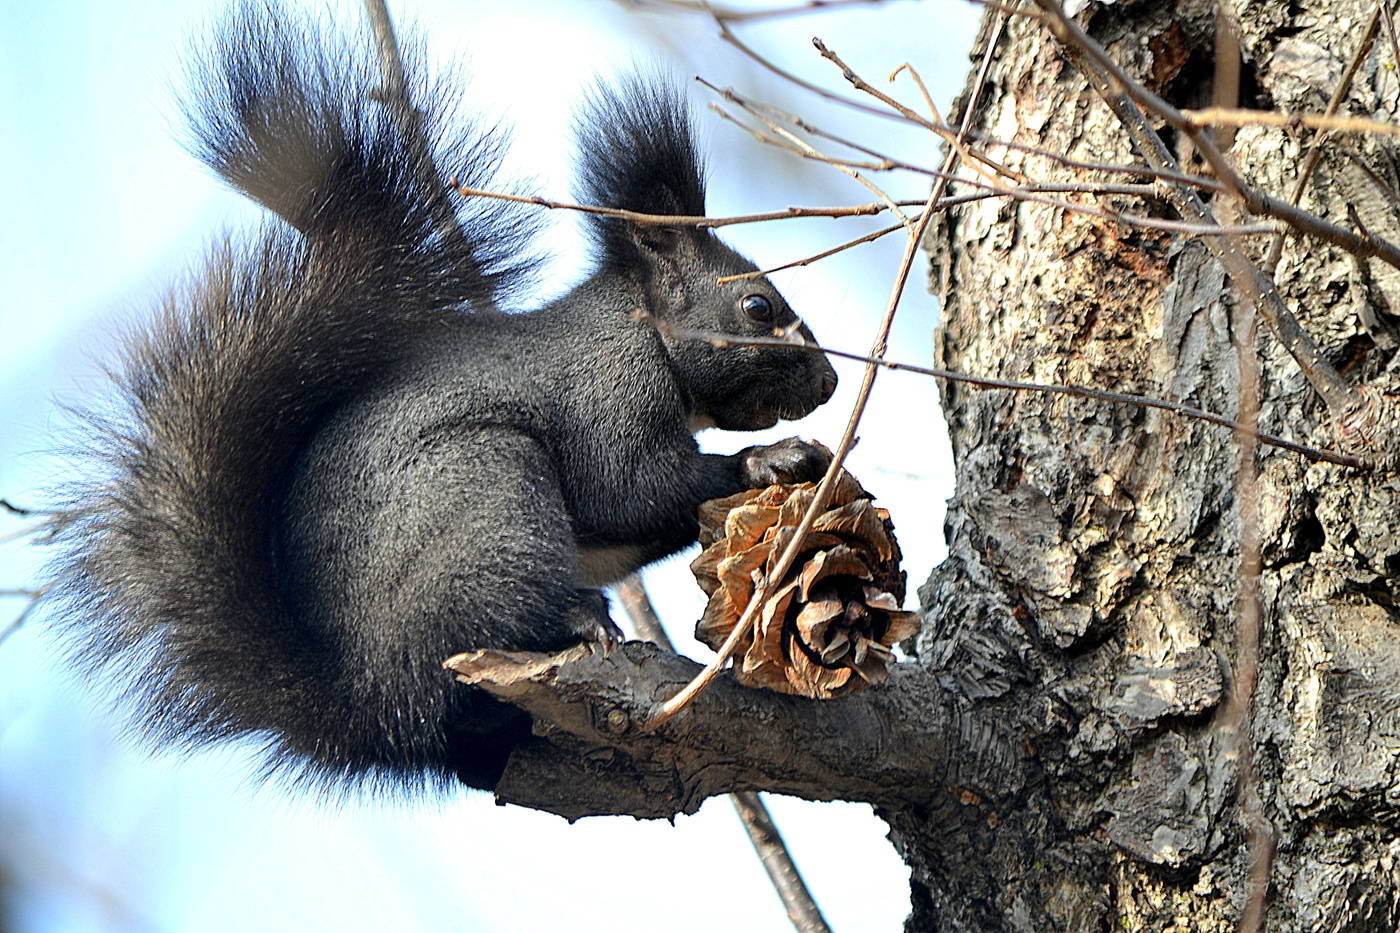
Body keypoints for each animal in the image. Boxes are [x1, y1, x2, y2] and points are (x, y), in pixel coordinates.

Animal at [43, 3, 834, 795]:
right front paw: (771, 459)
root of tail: (369, 700)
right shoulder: (606, 392)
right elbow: (626, 488)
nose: (829, 384)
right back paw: (575, 619)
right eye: (759, 307)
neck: (638, 329)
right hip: (490, 494)